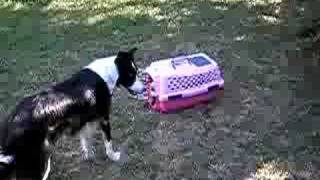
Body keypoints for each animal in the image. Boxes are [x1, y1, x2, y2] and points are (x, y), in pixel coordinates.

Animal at [0, 47, 144, 180]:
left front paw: (89, 156)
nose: (144, 88)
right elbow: (108, 142)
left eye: (136, 72)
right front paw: (114, 156)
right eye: (131, 75)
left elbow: (86, 141)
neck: (108, 74)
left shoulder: (85, 121)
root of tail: (14, 119)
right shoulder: (104, 118)